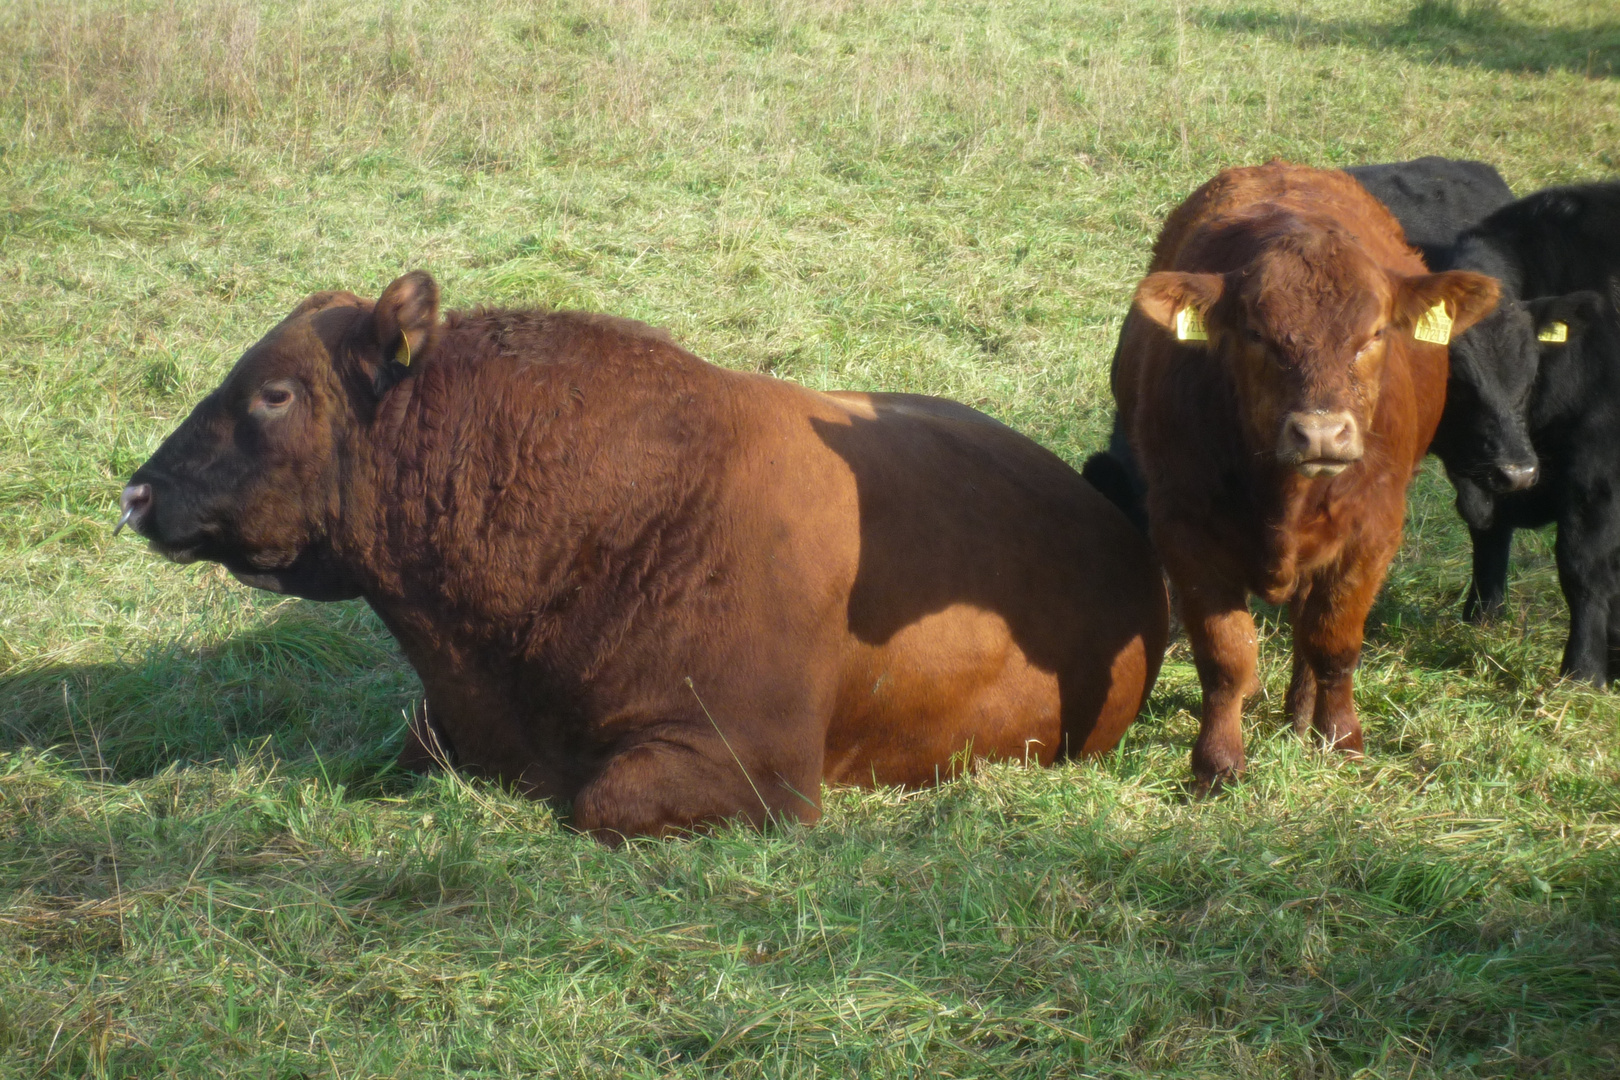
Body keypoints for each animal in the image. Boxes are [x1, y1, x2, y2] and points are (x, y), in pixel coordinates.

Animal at [1108, 162, 1496, 786]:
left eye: (1375, 334)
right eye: (1256, 334)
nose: (1320, 433)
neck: (1282, 497)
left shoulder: (1372, 531)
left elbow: (1333, 643)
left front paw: (1340, 739)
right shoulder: (1182, 527)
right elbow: (1225, 654)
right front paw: (1218, 762)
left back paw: (1301, 716)